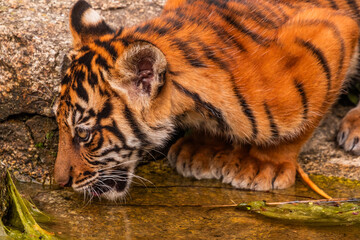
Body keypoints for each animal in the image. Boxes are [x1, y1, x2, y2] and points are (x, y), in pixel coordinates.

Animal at [52, 0, 360, 200]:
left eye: (84, 134)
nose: (59, 182)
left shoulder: (334, 34)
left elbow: (298, 127)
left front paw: (262, 165)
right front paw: (200, 149)